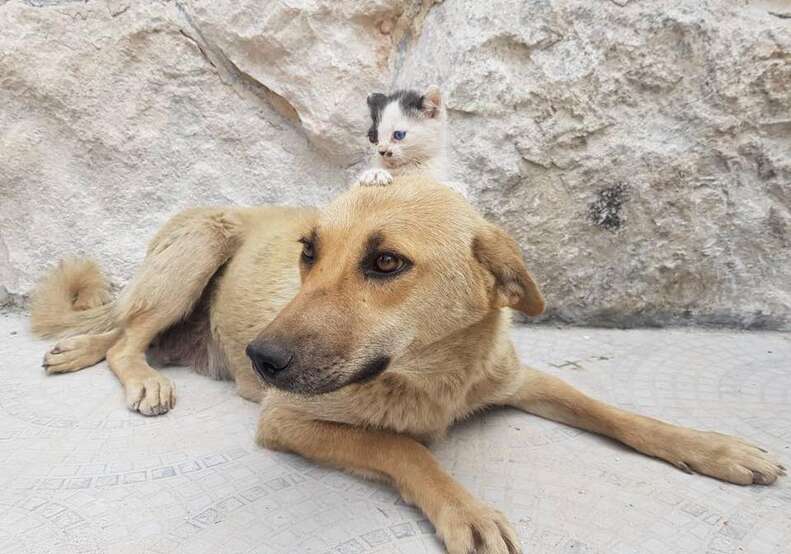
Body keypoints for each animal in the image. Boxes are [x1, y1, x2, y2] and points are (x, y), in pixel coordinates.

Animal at [32, 176, 784, 552]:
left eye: (386, 263)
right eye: (308, 252)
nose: (259, 357)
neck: (434, 375)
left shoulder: (519, 379)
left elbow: (611, 410)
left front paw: (714, 449)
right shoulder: (285, 419)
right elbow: (405, 451)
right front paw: (465, 510)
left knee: (117, 329)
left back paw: (78, 347)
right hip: (197, 250)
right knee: (127, 336)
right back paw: (141, 378)